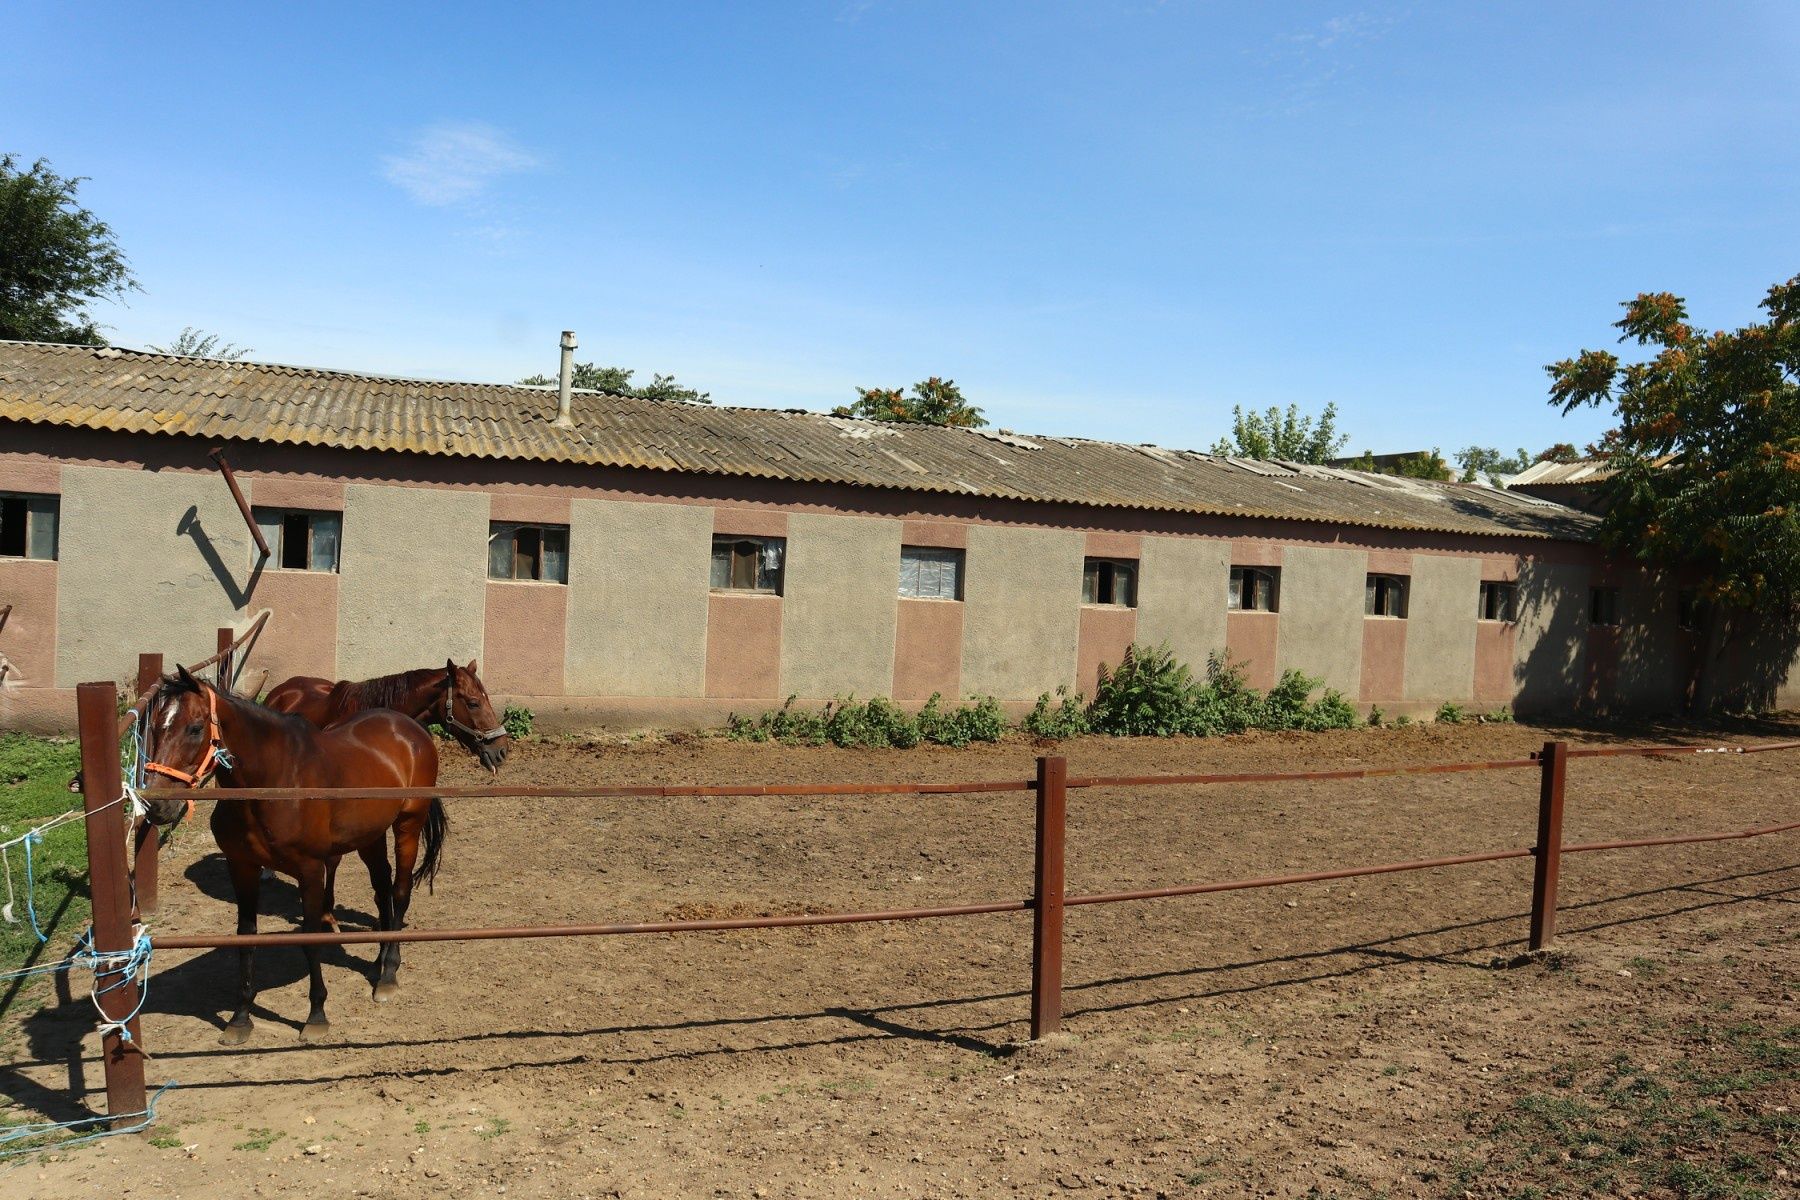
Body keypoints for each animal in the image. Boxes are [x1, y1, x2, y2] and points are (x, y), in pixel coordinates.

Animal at [137, 665, 446, 1043]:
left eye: (195, 728)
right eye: (154, 728)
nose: (157, 805)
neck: (274, 782)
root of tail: (408, 727)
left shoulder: (310, 870)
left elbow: (310, 940)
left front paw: (316, 1016)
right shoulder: (243, 867)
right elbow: (246, 939)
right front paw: (240, 1019)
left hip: (408, 825)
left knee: (400, 891)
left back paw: (388, 973)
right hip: (369, 836)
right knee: (382, 888)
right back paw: (379, 957)